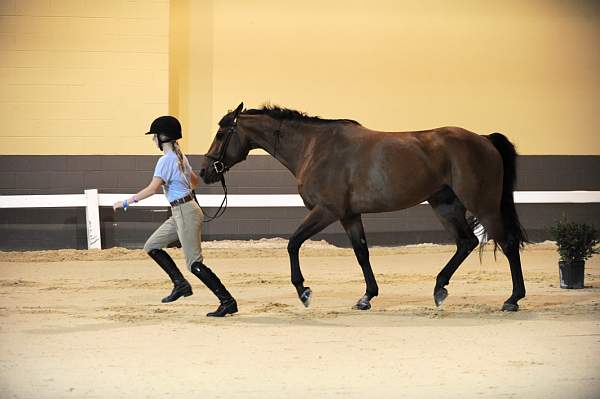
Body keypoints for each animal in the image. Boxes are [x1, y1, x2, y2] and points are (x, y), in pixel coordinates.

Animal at [198, 102, 524, 312]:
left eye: (221, 133)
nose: (205, 171)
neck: (314, 147)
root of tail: (484, 140)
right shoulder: (349, 215)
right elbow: (362, 253)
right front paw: (367, 297)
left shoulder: (326, 211)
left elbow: (293, 244)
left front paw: (304, 291)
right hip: (445, 204)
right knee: (466, 242)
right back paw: (440, 288)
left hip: (483, 206)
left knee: (507, 244)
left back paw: (513, 299)